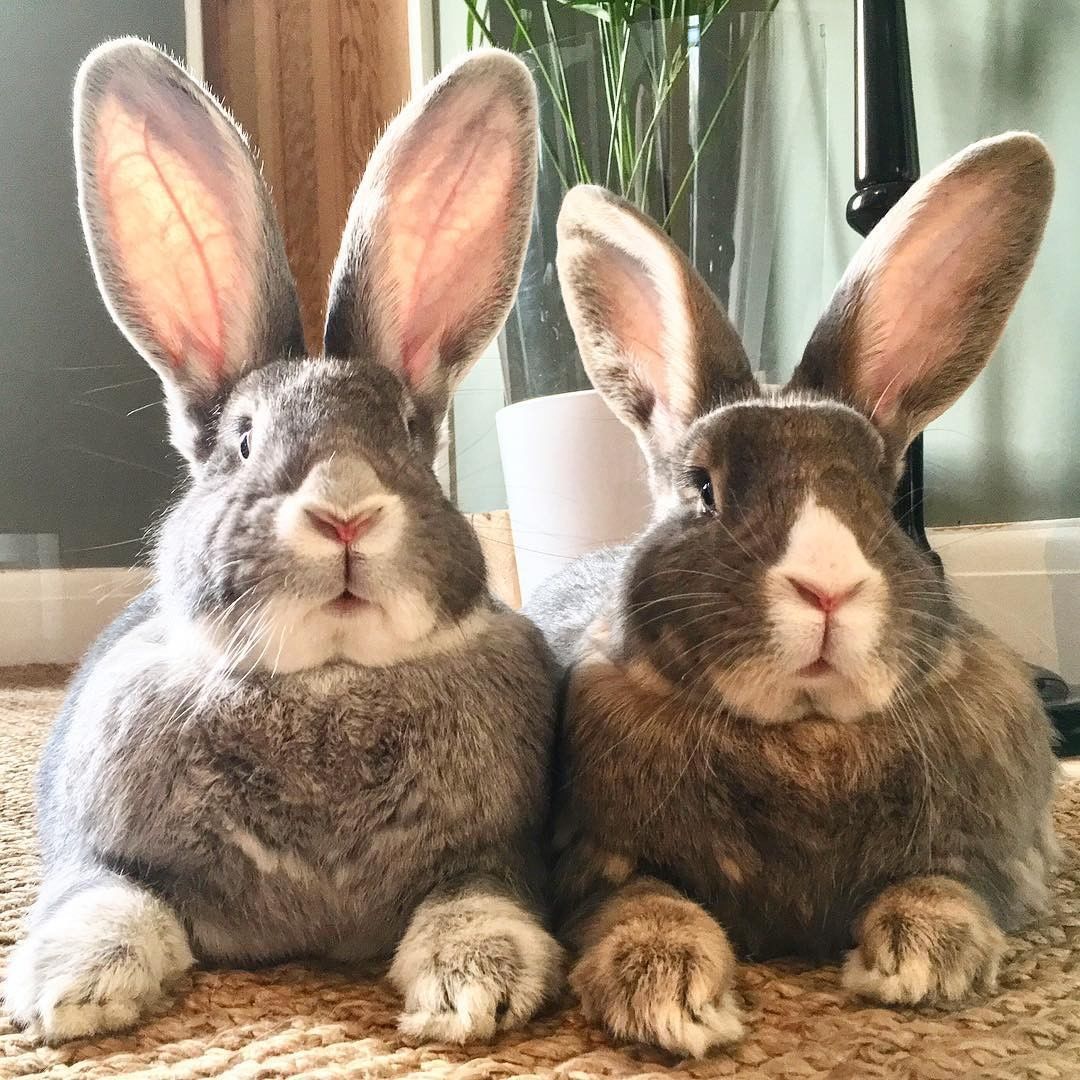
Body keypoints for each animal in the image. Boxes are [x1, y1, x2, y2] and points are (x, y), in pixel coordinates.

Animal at [1, 38, 564, 1045]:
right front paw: (71, 990)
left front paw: (471, 989)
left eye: (407, 439)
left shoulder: (505, 856)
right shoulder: (96, 849)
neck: (326, 682)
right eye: (243, 440)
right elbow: (108, 897)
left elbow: (479, 899)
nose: (343, 511)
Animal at [527, 133, 1060, 1057]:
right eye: (704, 491)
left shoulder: (982, 854)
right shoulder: (595, 863)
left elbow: (947, 886)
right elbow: (644, 905)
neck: (804, 736)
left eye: (885, 498)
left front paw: (922, 963)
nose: (827, 589)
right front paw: (669, 998)